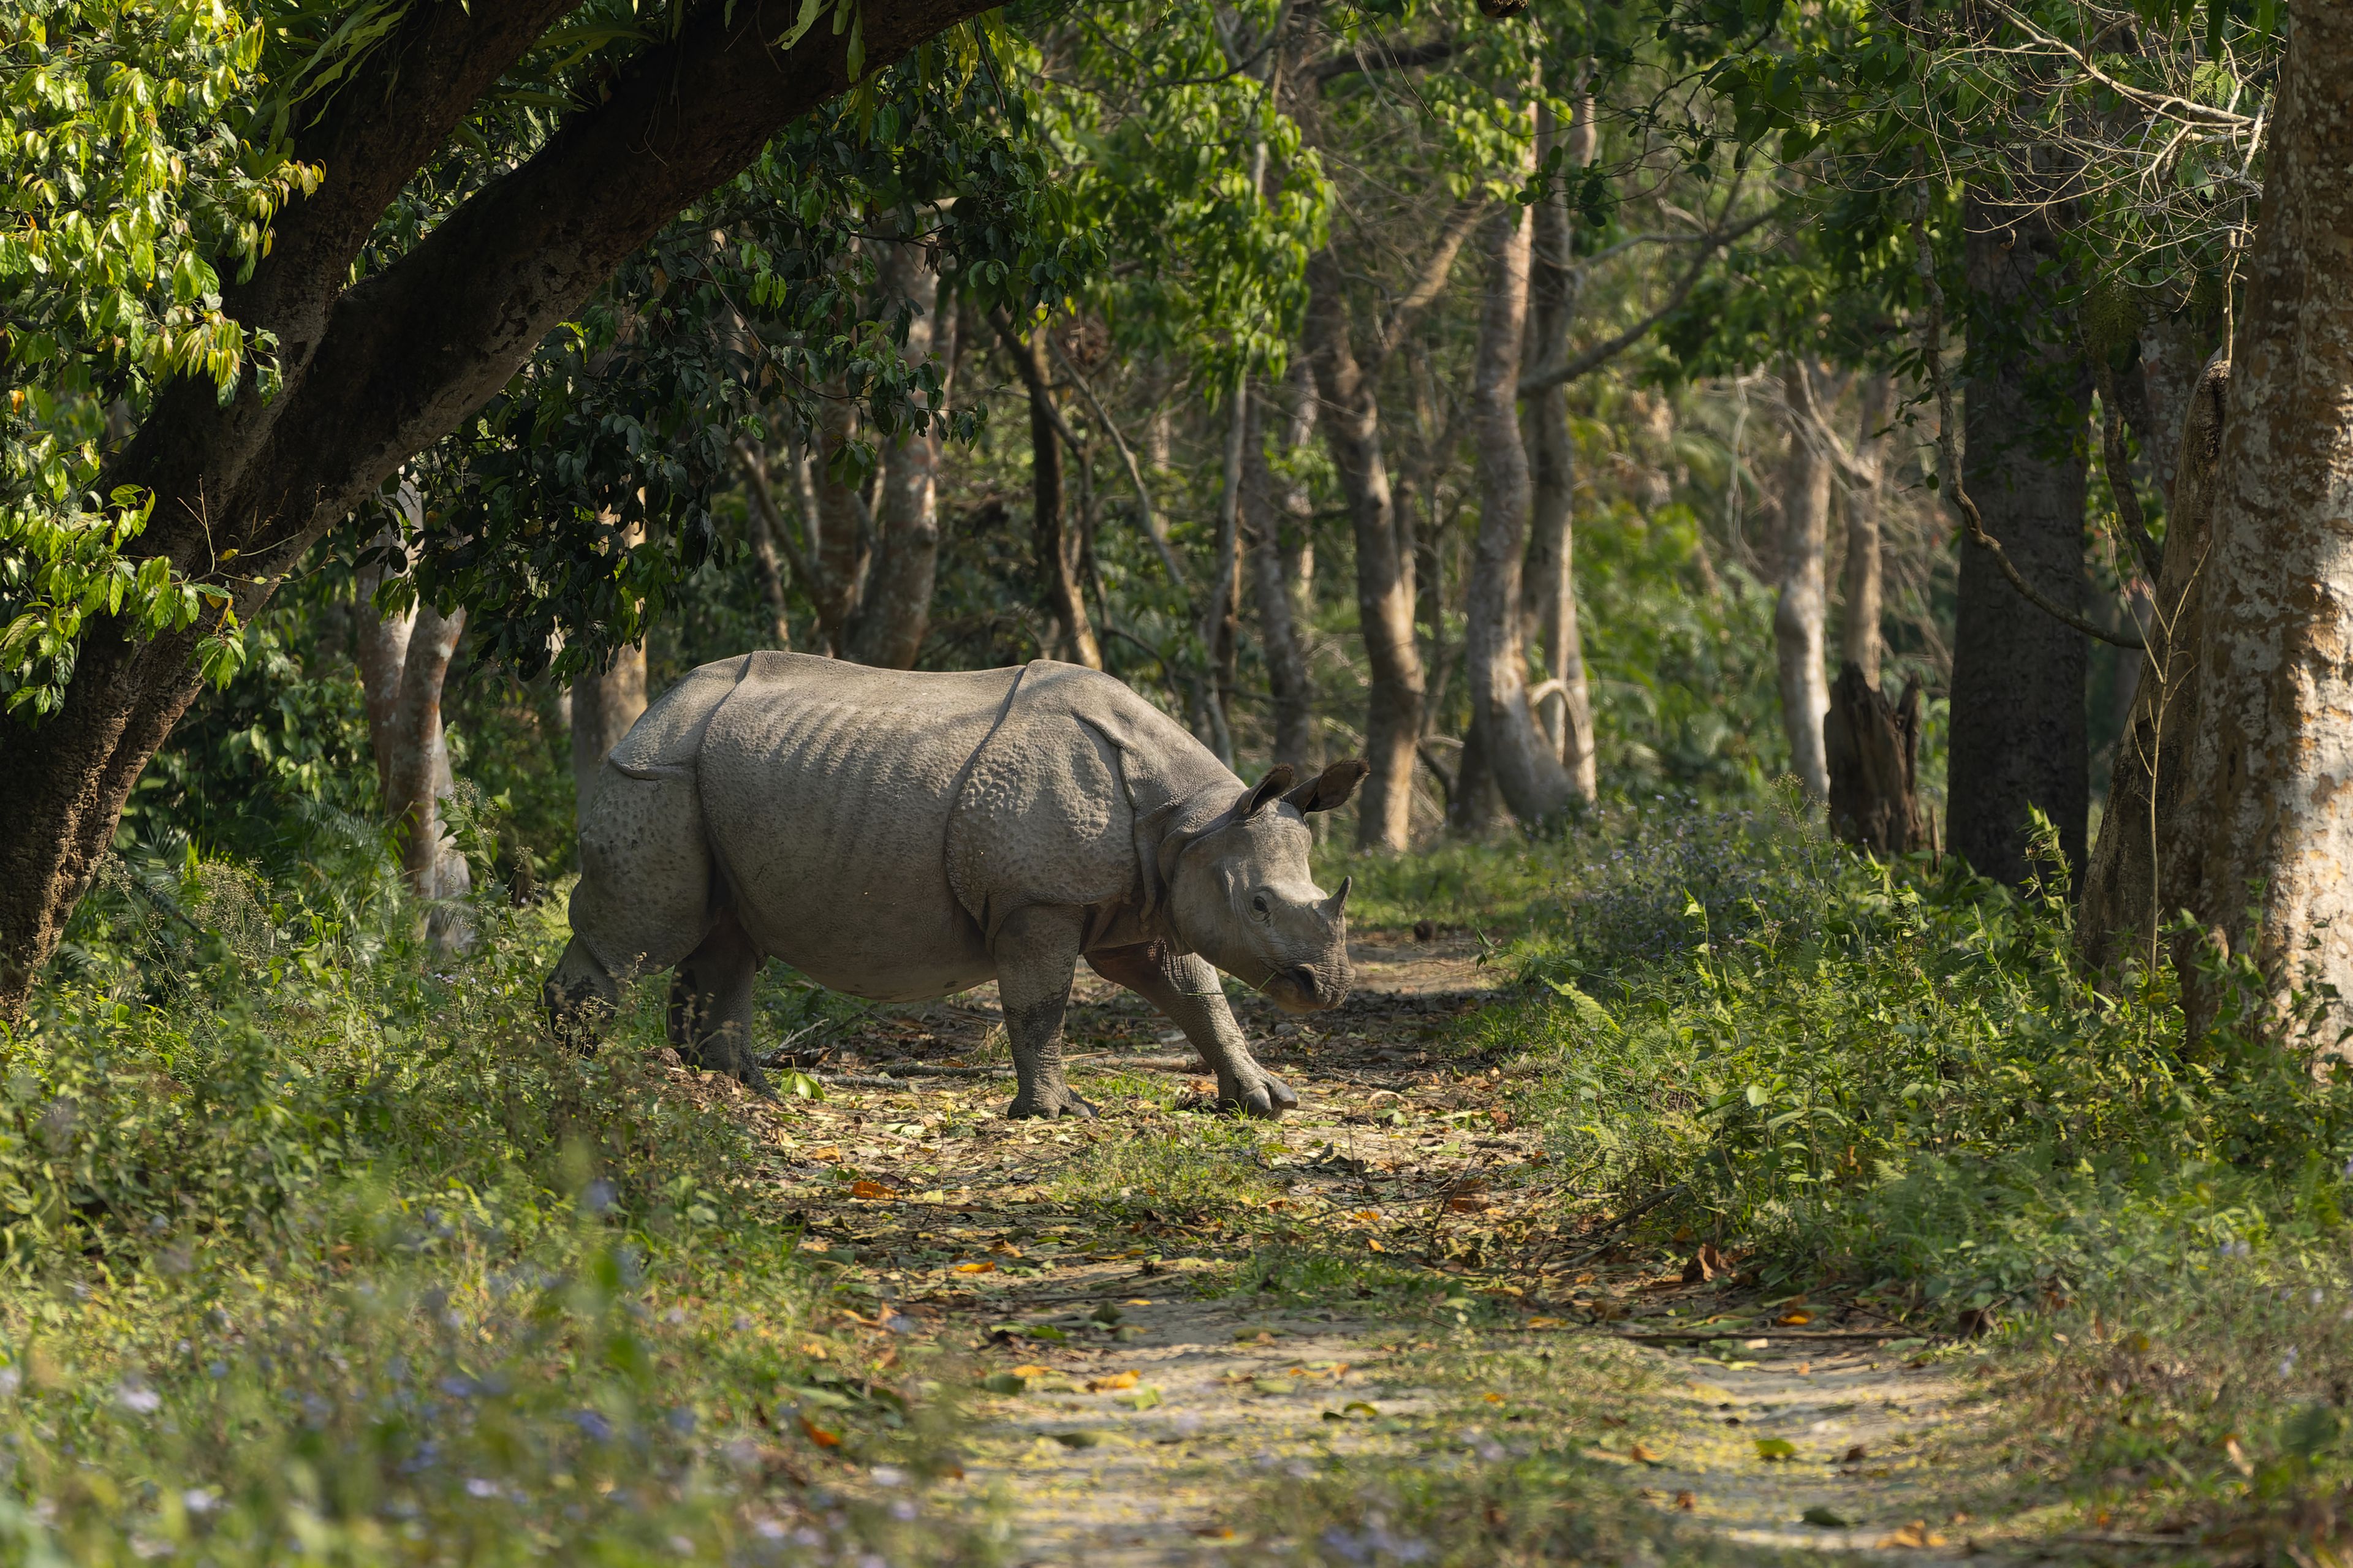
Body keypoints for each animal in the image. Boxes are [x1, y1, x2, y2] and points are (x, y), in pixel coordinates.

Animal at [544, 652, 1366, 1118]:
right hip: (658, 774)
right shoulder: (1040, 898)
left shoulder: (1148, 899)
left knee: (726, 940)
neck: (1194, 821)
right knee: (643, 938)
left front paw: (1266, 1102)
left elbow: (1200, 997)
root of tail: (654, 710)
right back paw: (570, 1082)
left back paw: (744, 1094)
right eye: (1258, 904)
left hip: (716, 777)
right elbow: (1041, 1005)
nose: (1324, 989)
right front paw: (1058, 1114)